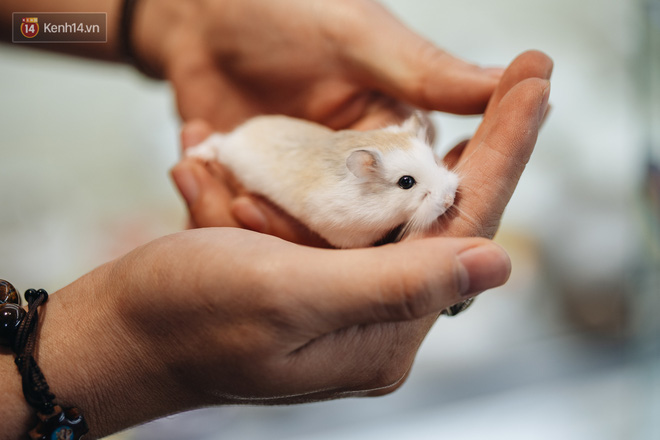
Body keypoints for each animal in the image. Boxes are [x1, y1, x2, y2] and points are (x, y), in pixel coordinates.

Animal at [186, 112, 459, 249]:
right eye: (406, 182)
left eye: (436, 161)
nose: (449, 200)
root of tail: (244, 130)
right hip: (230, 151)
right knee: (217, 141)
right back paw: (197, 156)